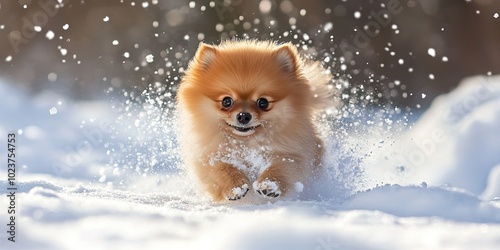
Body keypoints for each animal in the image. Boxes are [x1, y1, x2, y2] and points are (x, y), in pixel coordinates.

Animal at [176, 40, 332, 201]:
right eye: (226, 101)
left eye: (263, 103)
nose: (243, 116)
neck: (245, 144)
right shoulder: (209, 157)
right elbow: (222, 169)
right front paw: (236, 187)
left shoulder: (291, 154)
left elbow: (281, 167)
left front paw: (269, 185)